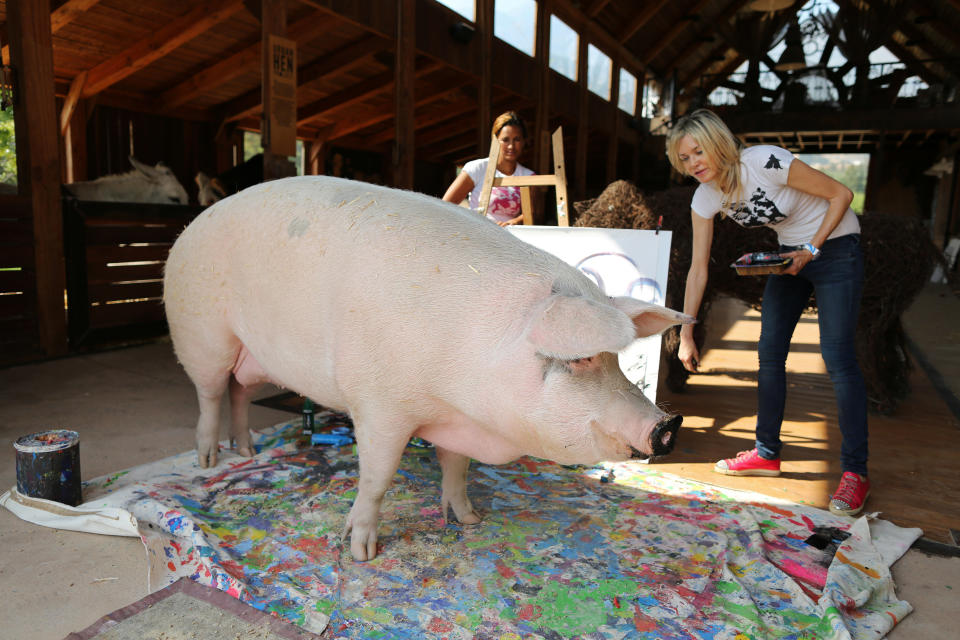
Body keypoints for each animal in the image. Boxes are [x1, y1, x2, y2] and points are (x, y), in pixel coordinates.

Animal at [163, 176, 688, 560]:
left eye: (613, 360)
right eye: (580, 359)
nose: (667, 425)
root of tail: (192, 225)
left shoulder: (455, 420)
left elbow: (455, 468)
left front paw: (471, 521)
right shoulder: (379, 404)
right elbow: (376, 478)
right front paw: (361, 553)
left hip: (245, 354)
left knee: (237, 392)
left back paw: (247, 451)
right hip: (201, 335)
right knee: (210, 394)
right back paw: (209, 460)